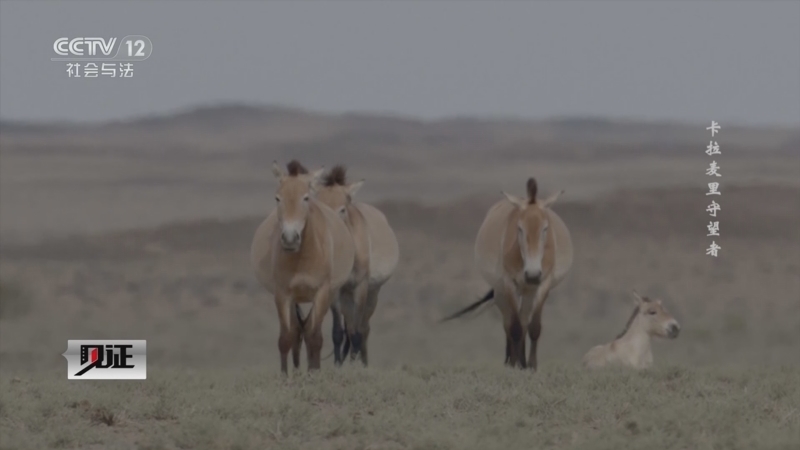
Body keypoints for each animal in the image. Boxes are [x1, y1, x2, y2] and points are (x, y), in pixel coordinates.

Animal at [248, 160, 352, 374]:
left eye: (305, 198)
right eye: (277, 198)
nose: (290, 238)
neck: (303, 258)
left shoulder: (321, 294)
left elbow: (315, 338)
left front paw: (314, 374)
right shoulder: (283, 295)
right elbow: (286, 338)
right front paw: (286, 376)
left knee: (310, 332)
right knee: (297, 332)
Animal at [308, 165, 404, 366]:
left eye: (342, 209)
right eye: (321, 207)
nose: (332, 233)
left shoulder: (361, 288)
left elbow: (358, 332)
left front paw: (354, 367)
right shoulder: (335, 291)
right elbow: (338, 332)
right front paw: (338, 366)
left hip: (372, 293)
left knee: (364, 328)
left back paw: (364, 364)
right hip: (347, 297)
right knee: (351, 328)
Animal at [438, 178, 576, 370]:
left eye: (545, 228)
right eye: (519, 228)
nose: (532, 274)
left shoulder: (543, 285)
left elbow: (533, 327)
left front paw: (531, 366)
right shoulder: (510, 285)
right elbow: (515, 328)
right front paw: (515, 364)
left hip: (527, 291)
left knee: (523, 320)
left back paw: (523, 362)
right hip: (501, 293)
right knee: (508, 324)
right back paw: (511, 361)